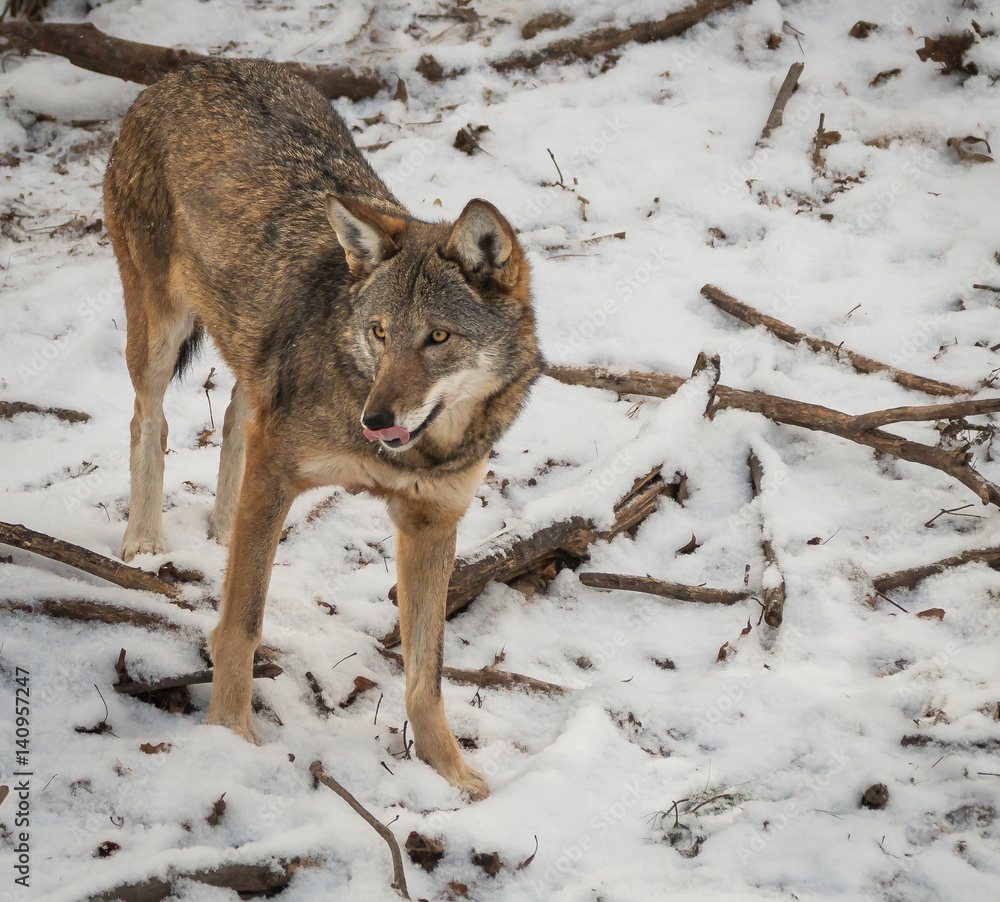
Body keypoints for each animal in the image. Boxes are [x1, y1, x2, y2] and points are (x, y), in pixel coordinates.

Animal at [104, 57, 542, 800]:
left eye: (438, 338)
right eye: (380, 333)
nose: (376, 419)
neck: (418, 454)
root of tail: (186, 69)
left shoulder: (432, 525)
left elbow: (426, 676)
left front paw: (453, 777)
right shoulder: (279, 471)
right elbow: (241, 624)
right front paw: (231, 739)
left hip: (249, 363)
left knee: (233, 418)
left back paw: (218, 528)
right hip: (159, 333)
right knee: (148, 420)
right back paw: (143, 541)